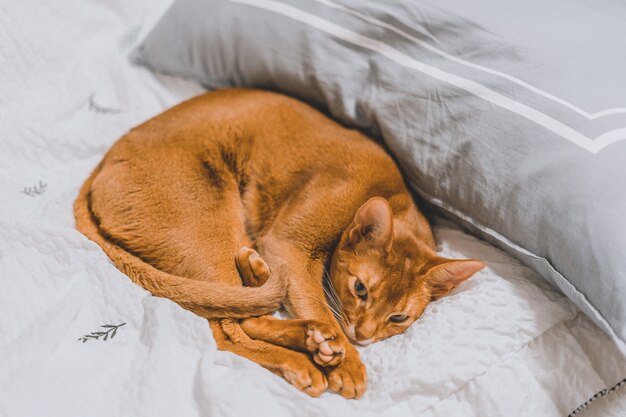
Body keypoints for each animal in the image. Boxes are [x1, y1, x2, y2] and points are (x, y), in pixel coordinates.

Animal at [73, 89, 482, 398]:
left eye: (399, 318)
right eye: (360, 289)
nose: (363, 337)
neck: (387, 192)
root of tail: (101, 166)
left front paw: (340, 350)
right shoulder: (289, 246)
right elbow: (320, 307)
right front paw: (348, 365)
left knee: (241, 313)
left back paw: (300, 331)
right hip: (213, 227)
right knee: (233, 329)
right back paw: (306, 355)